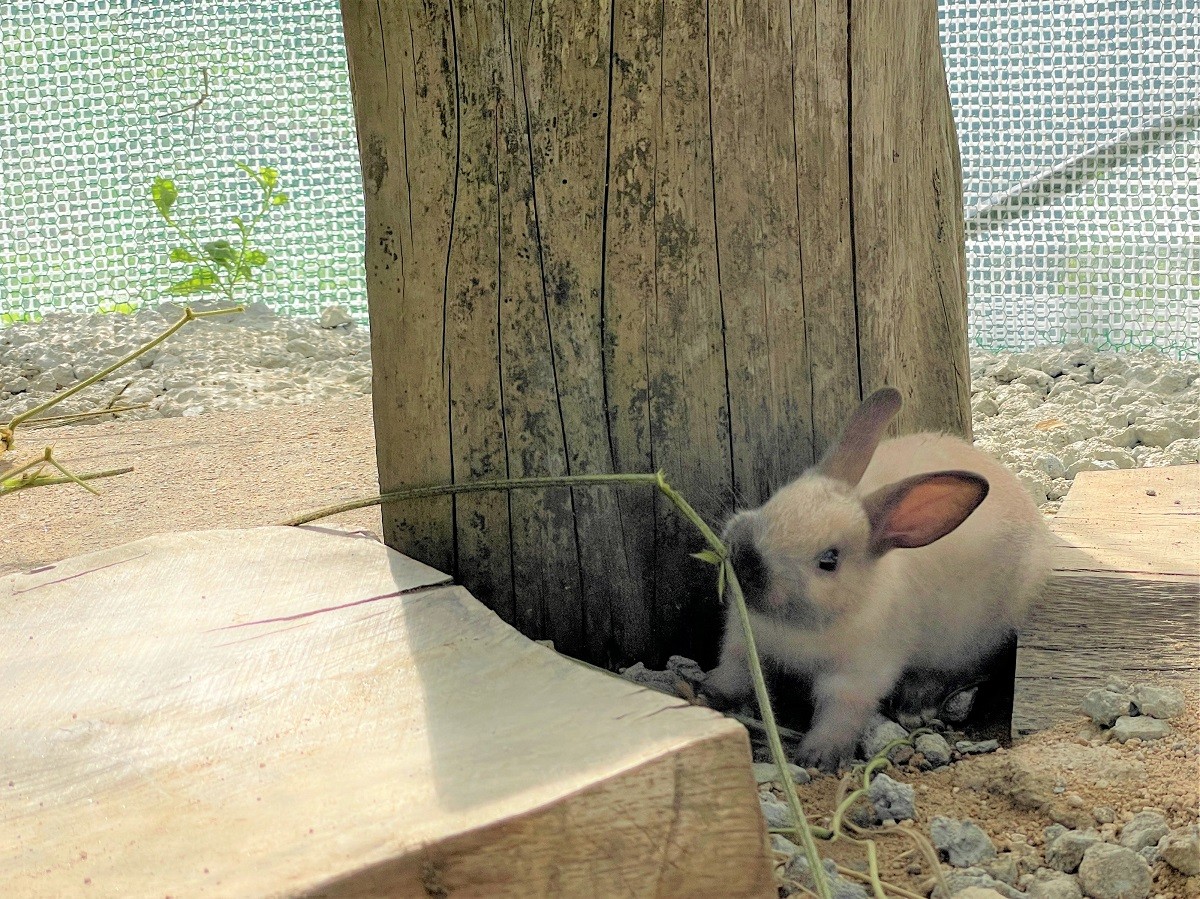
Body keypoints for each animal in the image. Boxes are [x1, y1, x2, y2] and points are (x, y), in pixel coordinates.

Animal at [700, 381, 1051, 768]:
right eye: (772, 503)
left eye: (829, 560)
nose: (746, 560)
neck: (801, 630)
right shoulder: (743, 638)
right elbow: (736, 671)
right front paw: (708, 693)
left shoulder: (860, 674)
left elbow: (841, 713)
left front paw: (817, 757)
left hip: (969, 644)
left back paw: (917, 703)